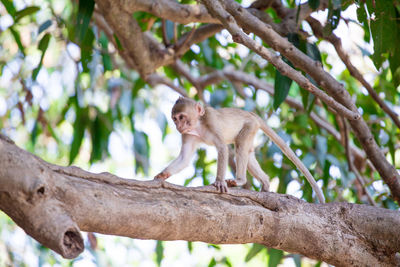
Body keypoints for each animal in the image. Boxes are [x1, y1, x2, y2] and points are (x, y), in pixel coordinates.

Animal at [153, 97, 324, 204]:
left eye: (181, 117)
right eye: (175, 119)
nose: (178, 126)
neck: (198, 125)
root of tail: (251, 114)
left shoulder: (211, 121)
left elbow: (222, 148)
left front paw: (219, 181)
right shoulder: (188, 134)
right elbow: (185, 158)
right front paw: (162, 175)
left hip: (249, 126)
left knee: (240, 146)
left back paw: (240, 180)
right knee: (248, 153)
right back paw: (266, 183)